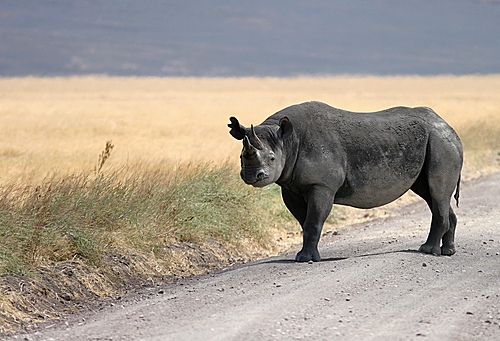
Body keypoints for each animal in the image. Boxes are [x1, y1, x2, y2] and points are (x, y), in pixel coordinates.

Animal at [229, 100, 462, 260]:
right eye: (241, 157)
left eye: (272, 158)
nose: (252, 176)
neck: (287, 142)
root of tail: (447, 125)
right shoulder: (290, 186)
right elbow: (304, 221)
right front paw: (305, 255)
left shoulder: (322, 185)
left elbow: (313, 221)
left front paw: (305, 259)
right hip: (436, 141)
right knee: (431, 194)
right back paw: (448, 251)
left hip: (441, 142)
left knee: (437, 193)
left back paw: (428, 251)